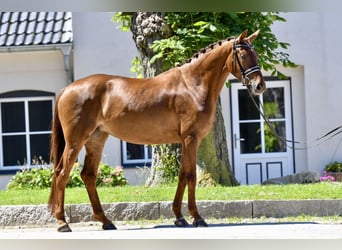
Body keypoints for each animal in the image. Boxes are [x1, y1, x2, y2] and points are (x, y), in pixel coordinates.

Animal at [48, 29, 266, 232]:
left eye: (256, 54)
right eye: (243, 55)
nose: (259, 86)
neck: (192, 85)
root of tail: (68, 88)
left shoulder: (184, 141)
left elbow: (182, 175)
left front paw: (179, 217)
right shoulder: (191, 138)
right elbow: (191, 176)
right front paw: (197, 218)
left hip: (96, 139)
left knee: (88, 176)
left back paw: (105, 221)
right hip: (75, 141)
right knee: (62, 173)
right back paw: (62, 222)